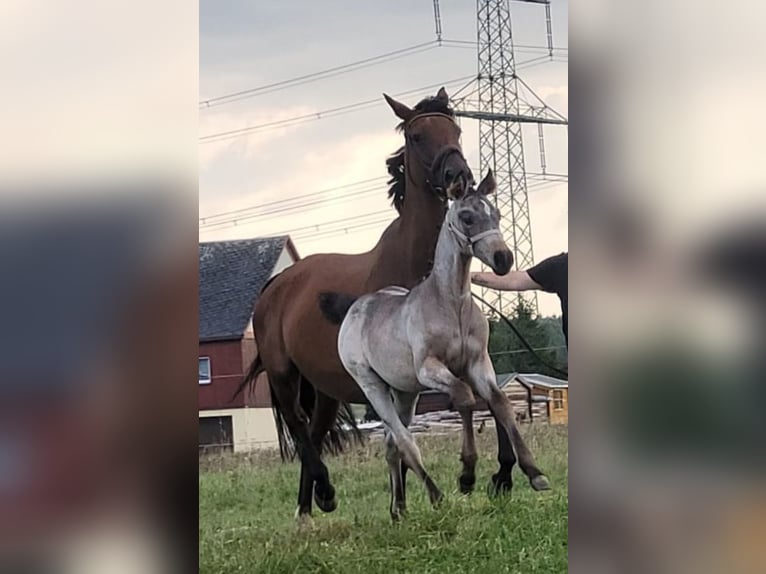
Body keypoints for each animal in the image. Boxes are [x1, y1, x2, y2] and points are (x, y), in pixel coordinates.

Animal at [238, 86, 536, 520]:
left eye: (457, 130)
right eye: (416, 135)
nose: (458, 176)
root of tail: (276, 284)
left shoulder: (463, 363)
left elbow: (492, 401)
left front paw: (503, 474)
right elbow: (412, 433)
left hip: (325, 391)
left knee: (315, 432)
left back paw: (309, 505)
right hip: (284, 376)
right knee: (299, 429)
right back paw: (324, 492)